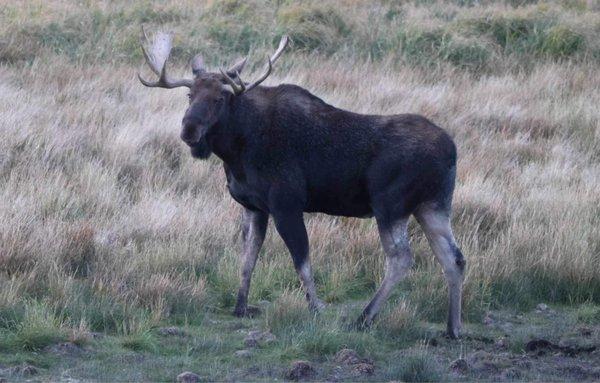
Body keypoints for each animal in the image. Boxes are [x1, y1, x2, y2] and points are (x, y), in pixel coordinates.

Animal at [138, 30, 466, 340]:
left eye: (220, 98)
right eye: (189, 95)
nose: (189, 130)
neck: (236, 151)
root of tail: (452, 150)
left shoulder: (287, 204)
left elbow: (302, 262)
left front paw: (315, 308)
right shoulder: (253, 207)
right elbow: (247, 260)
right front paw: (240, 307)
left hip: (390, 205)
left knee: (401, 259)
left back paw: (364, 317)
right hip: (432, 206)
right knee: (454, 258)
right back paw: (453, 327)